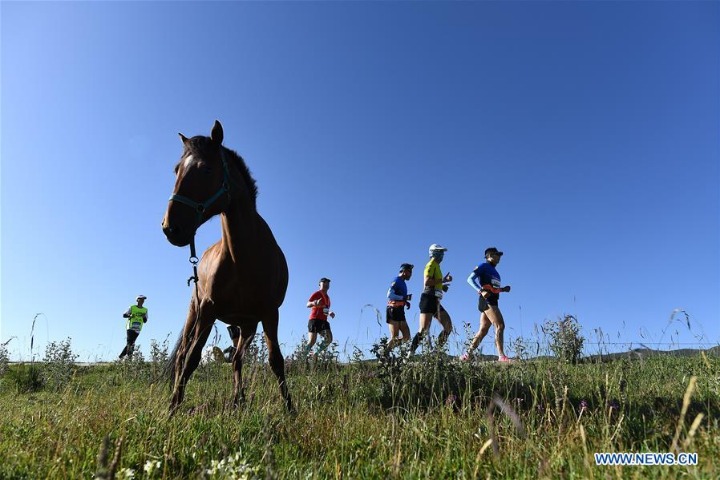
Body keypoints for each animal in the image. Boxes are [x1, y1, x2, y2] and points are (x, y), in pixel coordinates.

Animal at [161, 120, 292, 412]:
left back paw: (237, 400)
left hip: (246, 327)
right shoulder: (208, 311)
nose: (170, 228)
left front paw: (291, 408)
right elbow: (192, 360)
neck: (245, 257)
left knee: (237, 360)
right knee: (183, 355)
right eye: (176, 169)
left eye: (207, 169)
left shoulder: (269, 313)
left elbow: (276, 361)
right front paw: (172, 410)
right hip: (195, 314)